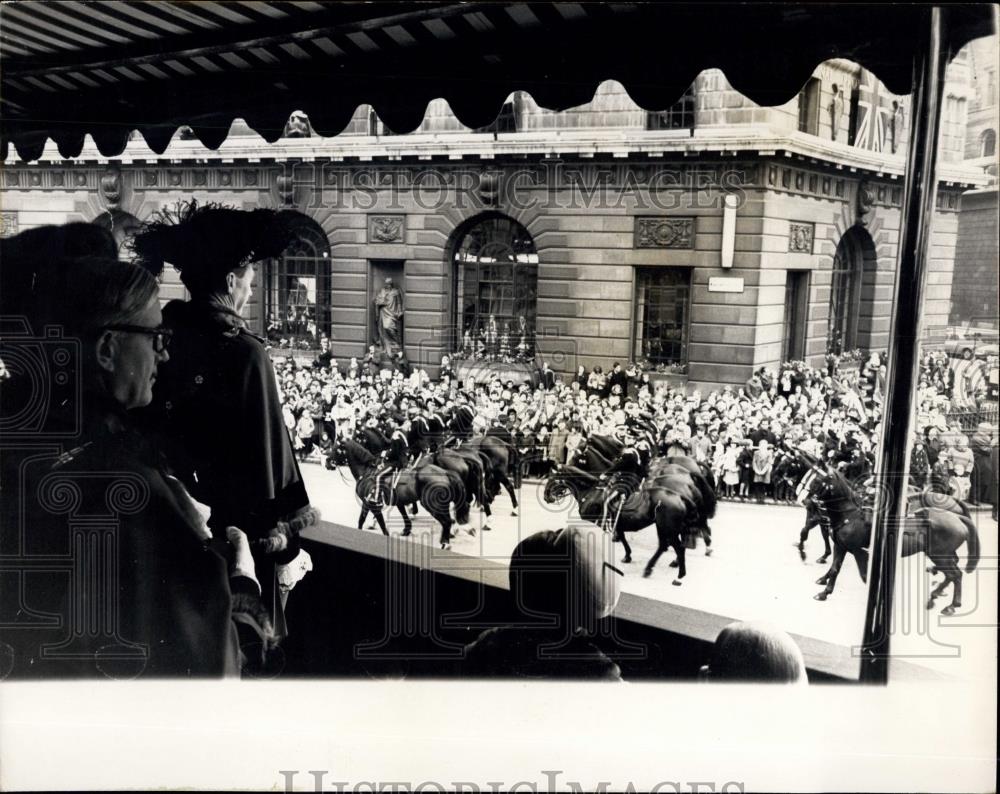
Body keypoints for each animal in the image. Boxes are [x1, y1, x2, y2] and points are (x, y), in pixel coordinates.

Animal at [332, 436, 464, 548]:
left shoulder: (372, 505)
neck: (366, 472)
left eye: (336, 449)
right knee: (448, 521)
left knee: (446, 521)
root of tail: (445, 473)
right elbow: (363, 521)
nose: (328, 462)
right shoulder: (378, 502)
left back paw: (445, 543)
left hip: (432, 505)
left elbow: (381, 525)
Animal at [548, 460, 704, 584]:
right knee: (664, 546)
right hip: (662, 527)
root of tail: (679, 495)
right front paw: (627, 556)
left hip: (668, 529)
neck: (591, 492)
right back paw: (650, 569)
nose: (545, 496)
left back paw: (679, 576)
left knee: (678, 548)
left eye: (552, 478)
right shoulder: (614, 524)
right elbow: (622, 538)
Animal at [800, 458, 980, 612]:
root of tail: (957, 516)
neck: (850, 514)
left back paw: (946, 602)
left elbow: (863, 575)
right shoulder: (840, 546)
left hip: (939, 555)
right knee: (954, 573)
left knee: (955, 574)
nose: (805, 501)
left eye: (816, 480)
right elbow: (835, 569)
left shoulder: (859, 552)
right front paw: (824, 592)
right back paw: (942, 597)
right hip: (942, 554)